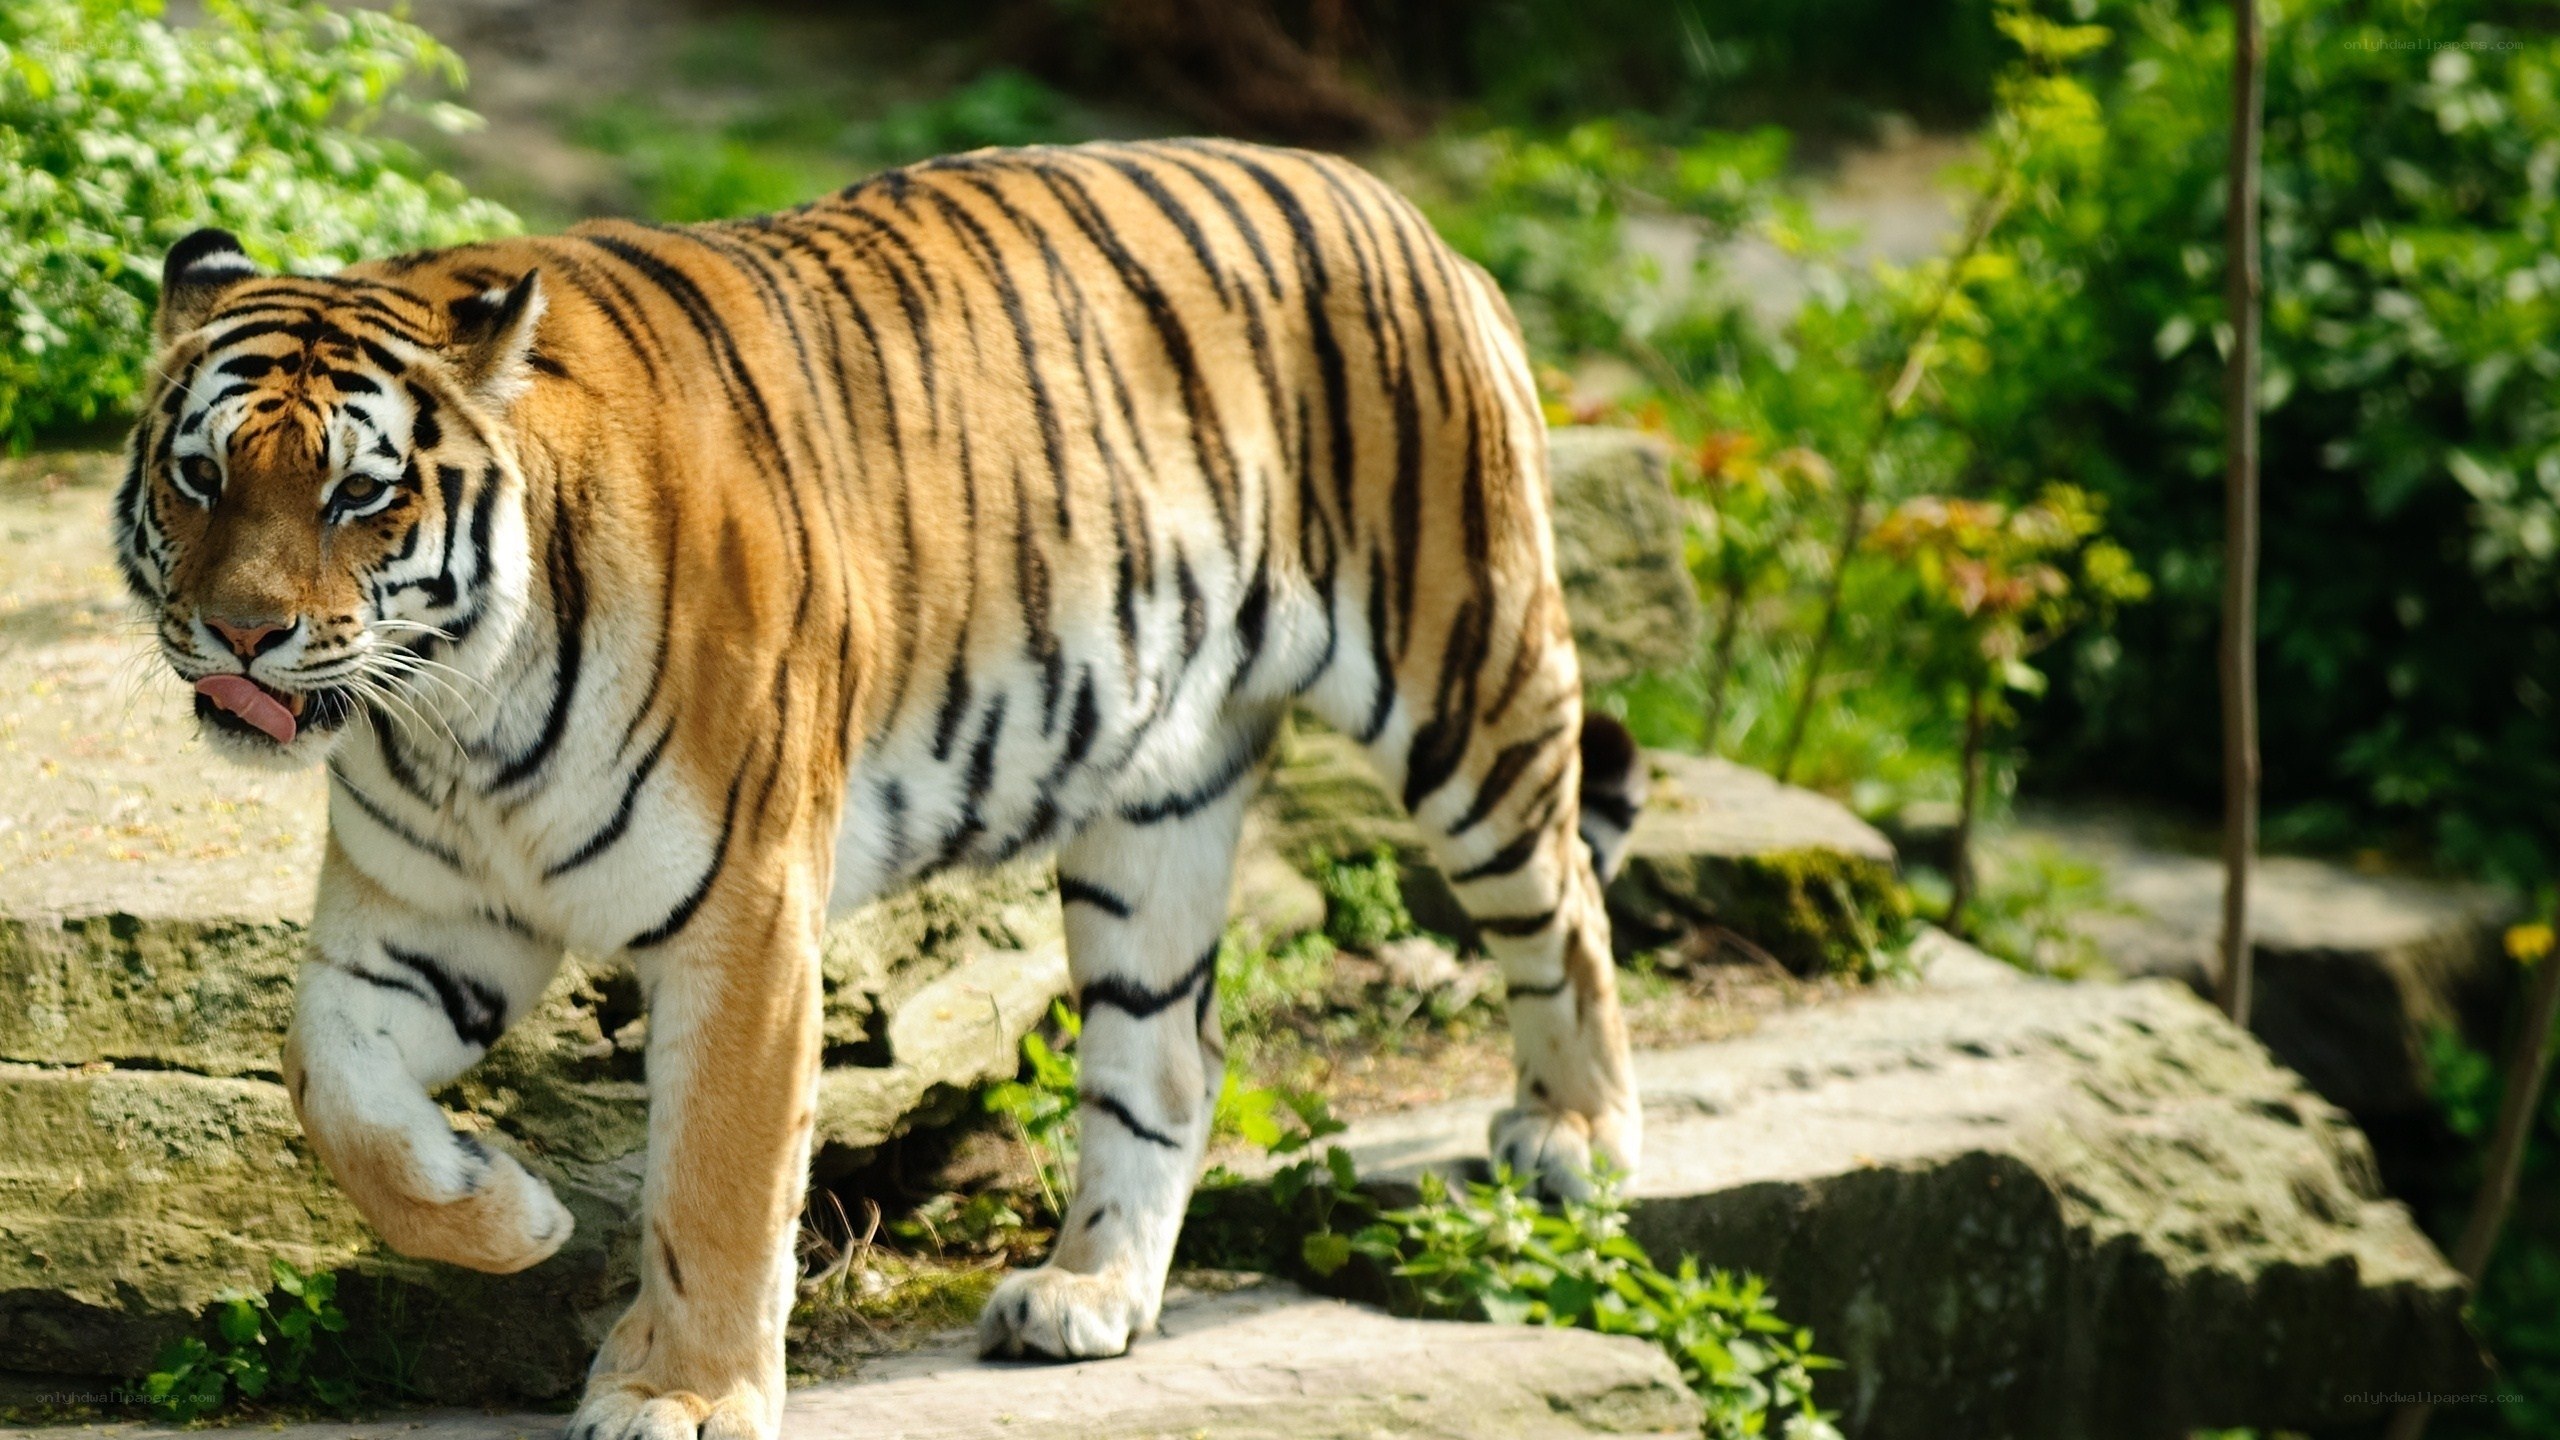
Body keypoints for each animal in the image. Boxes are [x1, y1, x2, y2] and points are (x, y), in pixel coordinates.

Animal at [116, 138, 1644, 1440]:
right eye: (199, 477)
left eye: (357, 496)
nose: (240, 634)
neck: (451, 720)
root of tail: (1405, 211)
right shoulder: (425, 918)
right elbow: (334, 1089)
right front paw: (508, 1214)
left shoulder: (744, 921)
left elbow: (718, 1186)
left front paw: (681, 1392)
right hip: (1154, 801)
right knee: (1170, 1056)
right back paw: (1085, 1293)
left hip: (1467, 679)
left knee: (1566, 908)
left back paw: (1576, 1140)